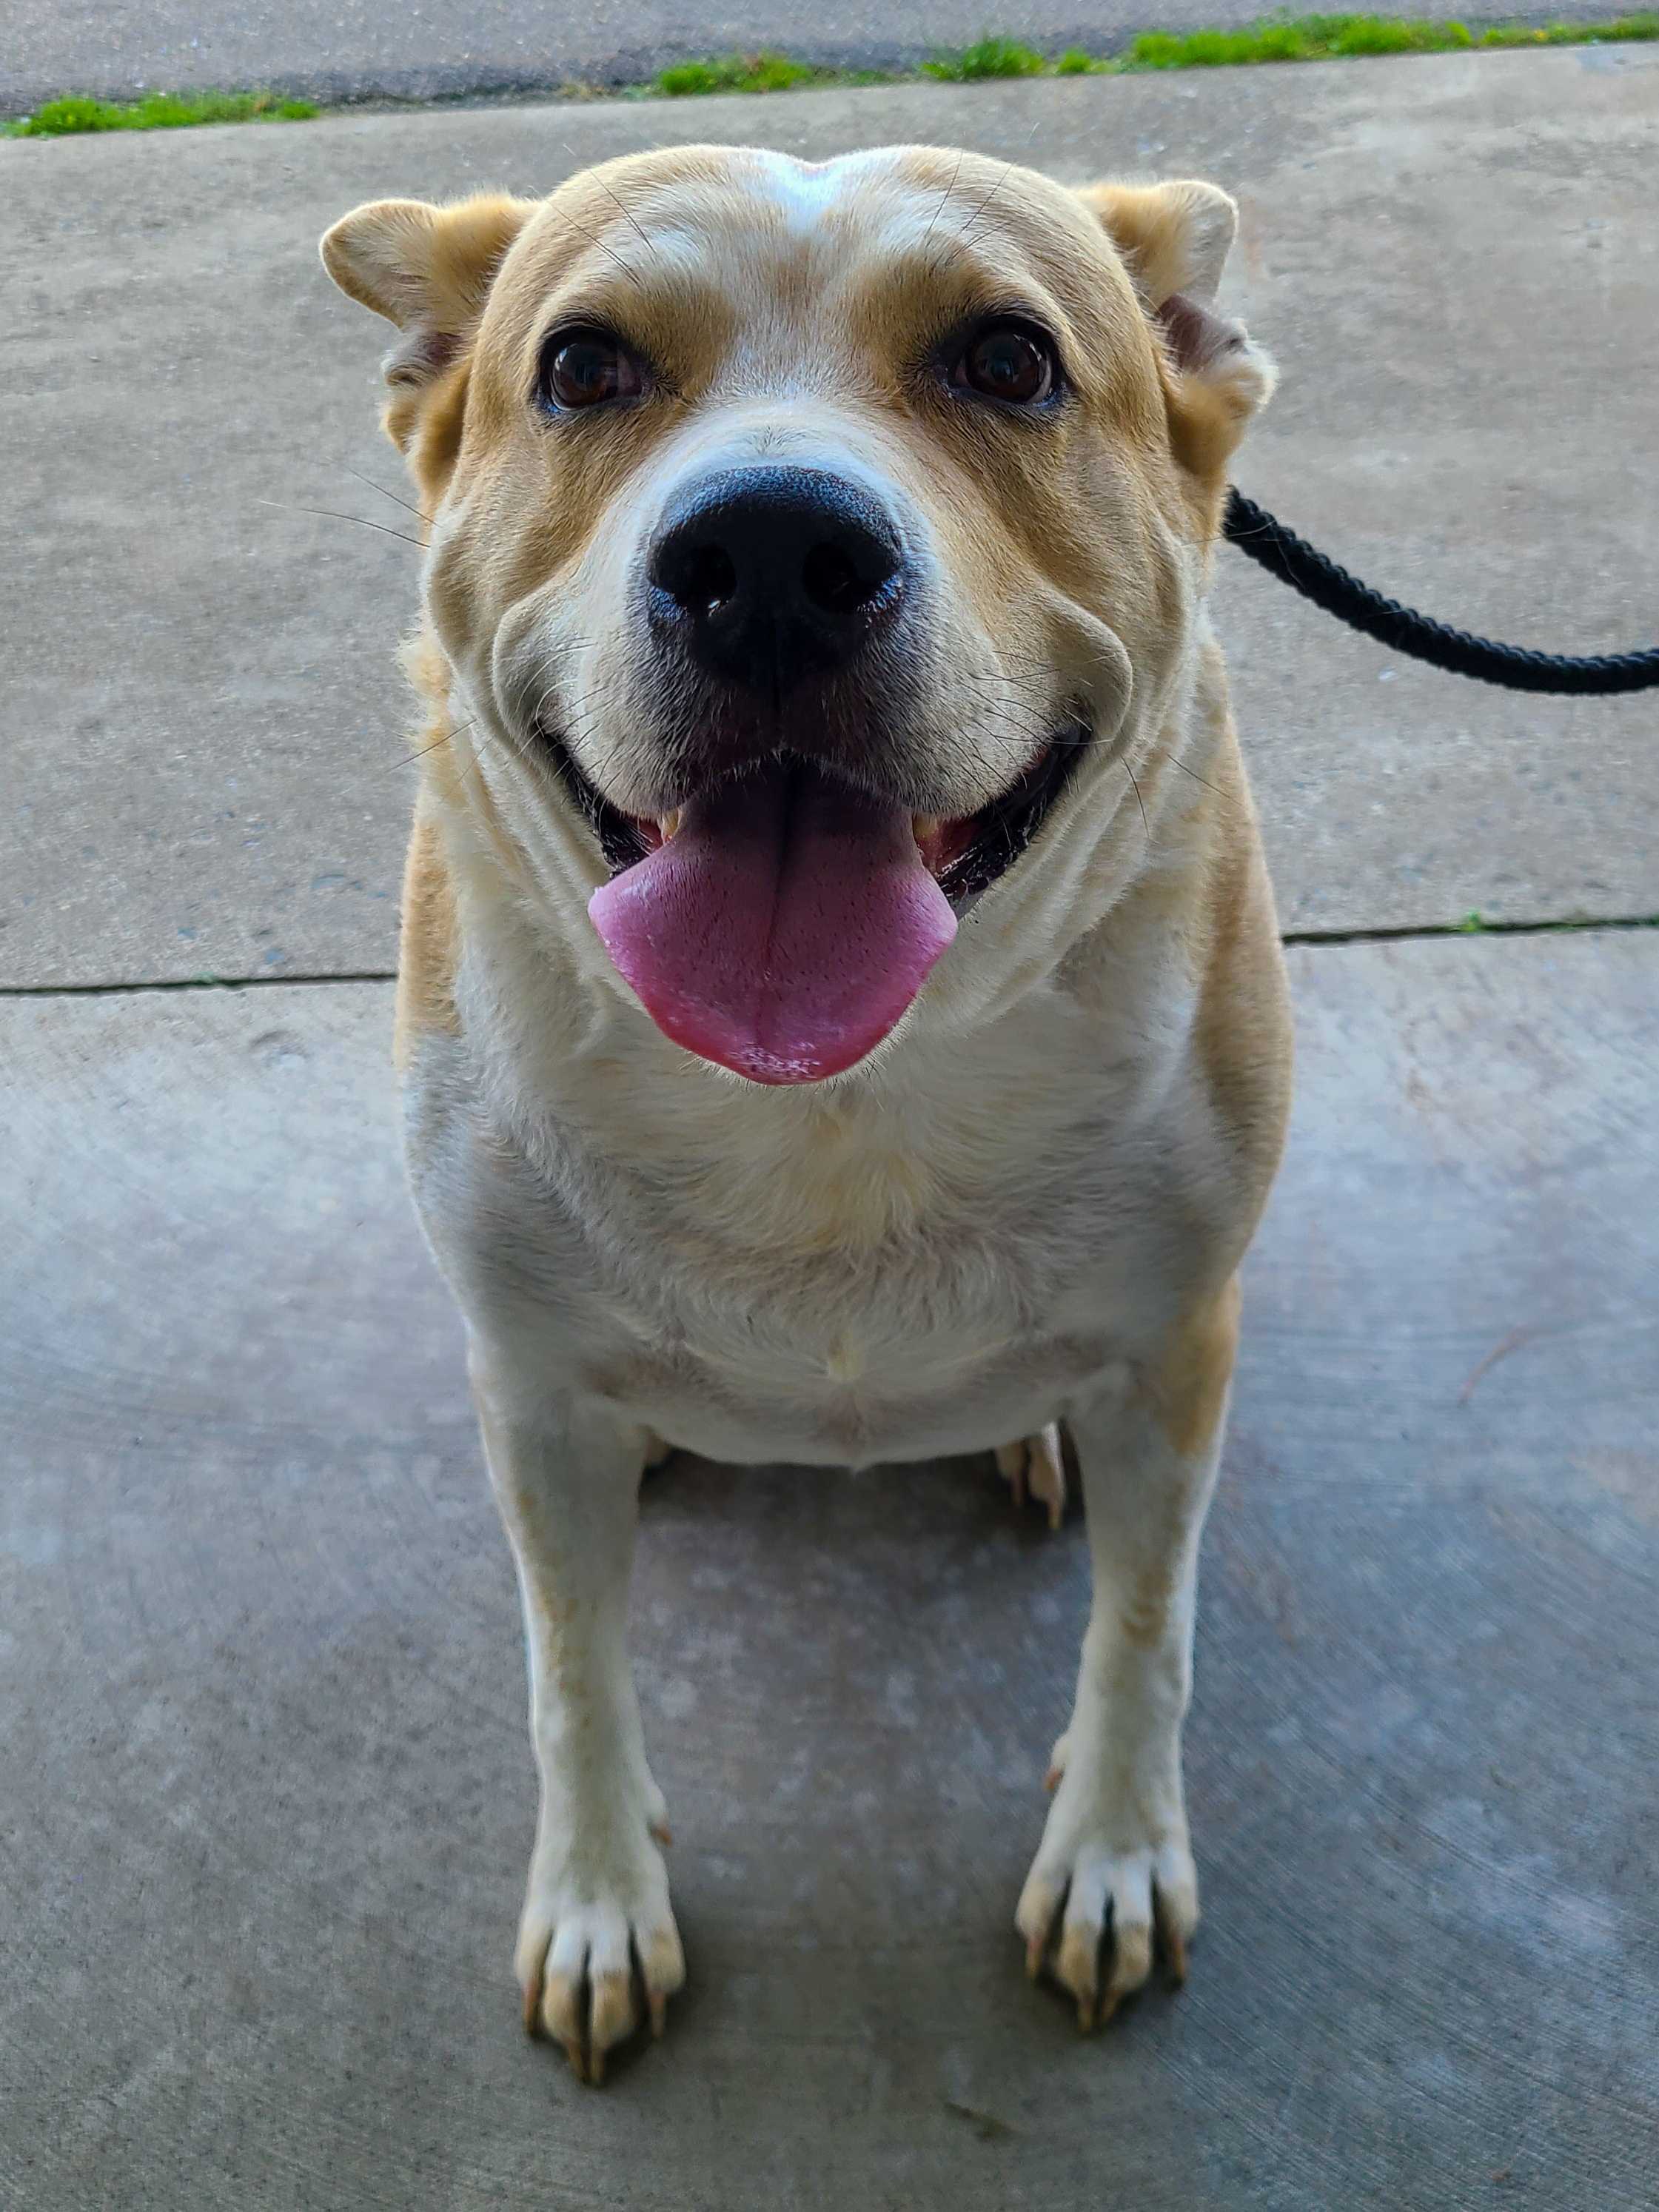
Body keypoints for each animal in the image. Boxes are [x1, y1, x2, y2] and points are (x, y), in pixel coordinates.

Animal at [318, 147, 1291, 2079]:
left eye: (1008, 359)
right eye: (582, 367)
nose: (768, 558)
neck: (837, 1103)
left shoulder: (1177, 1348)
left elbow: (1145, 1628)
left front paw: (1114, 1855)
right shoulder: (525, 1391)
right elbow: (570, 1665)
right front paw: (599, 1896)